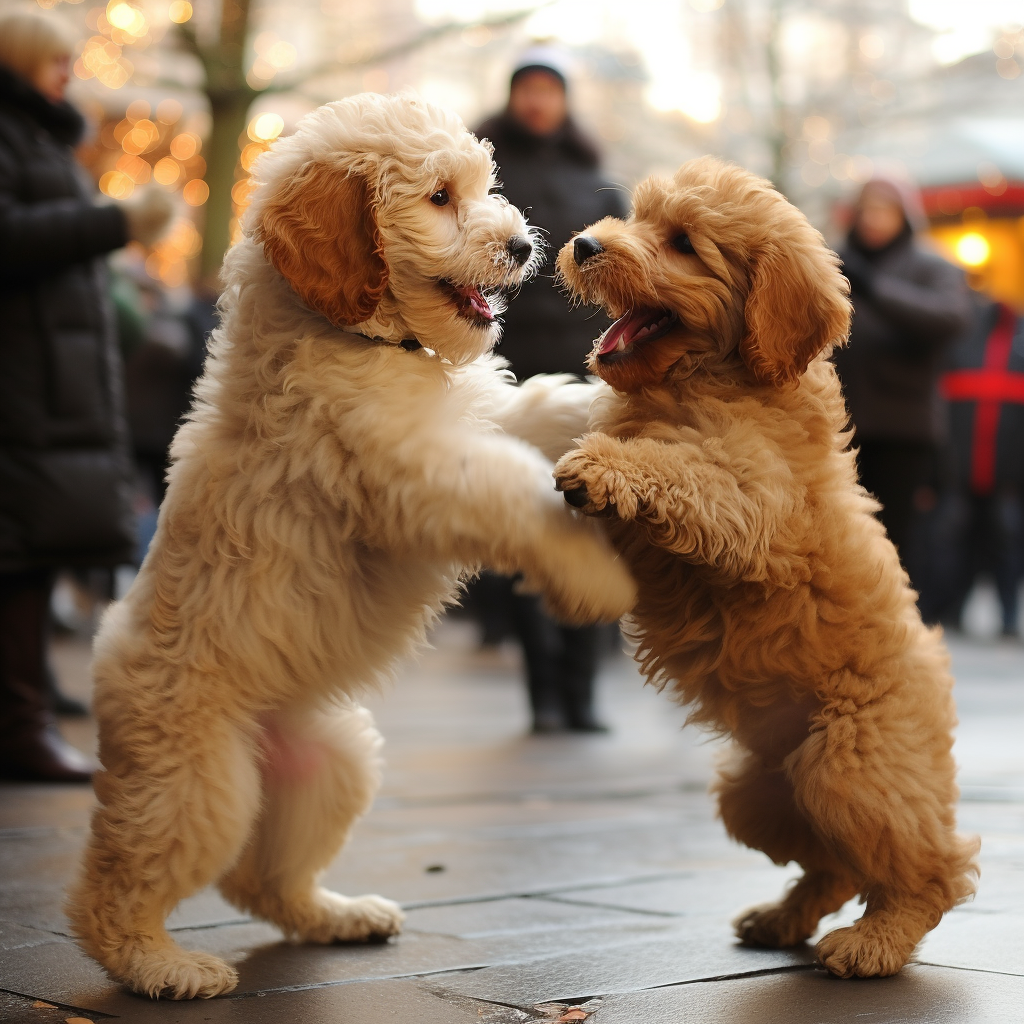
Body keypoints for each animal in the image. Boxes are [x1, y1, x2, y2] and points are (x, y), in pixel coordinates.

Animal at [66, 96, 630, 999]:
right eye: (439, 197)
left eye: (482, 185)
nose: (522, 246)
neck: (355, 336)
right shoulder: (416, 472)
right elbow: (512, 492)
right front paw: (595, 578)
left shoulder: (474, 421)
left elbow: (545, 411)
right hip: (198, 784)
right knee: (116, 889)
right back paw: (164, 967)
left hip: (332, 765)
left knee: (264, 879)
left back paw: (338, 917)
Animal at [552, 155, 974, 978]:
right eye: (638, 217)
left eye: (683, 242)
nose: (584, 244)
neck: (705, 377)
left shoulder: (756, 506)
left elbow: (682, 471)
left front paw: (607, 465)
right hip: (756, 795)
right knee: (834, 865)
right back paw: (782, 919)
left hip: (849, 764)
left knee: (930, 871)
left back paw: (874, 941)